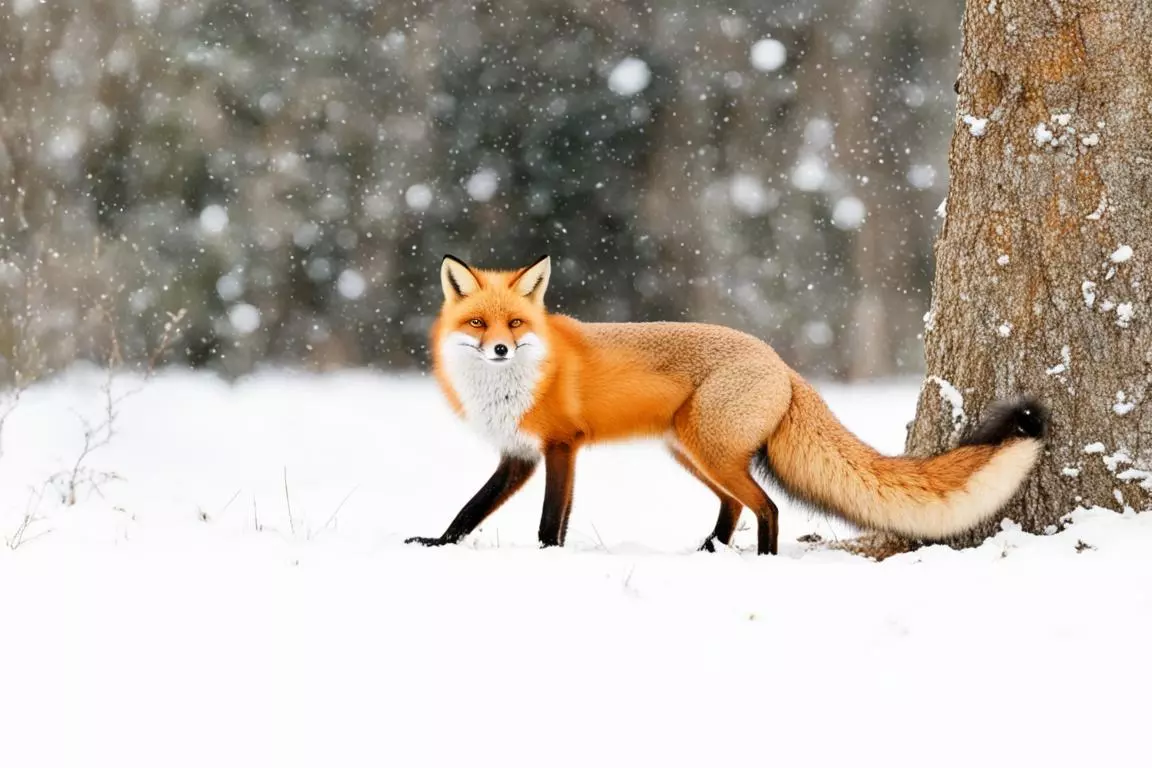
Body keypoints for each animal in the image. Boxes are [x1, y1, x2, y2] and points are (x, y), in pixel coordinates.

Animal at [410, 256, 1050, 552]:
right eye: (479, 323)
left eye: (516, 324)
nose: (499, 348)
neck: (510, 387)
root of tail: (780, 361)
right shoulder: (518, 456)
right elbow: (470, 510)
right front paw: (438, 544)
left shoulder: (561, 446)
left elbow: (551, 519)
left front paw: (547, 556)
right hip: (691, 453)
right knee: (736, 507)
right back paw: (710, 552)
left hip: (709, 451)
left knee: (766, 507)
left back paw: (758, 562)